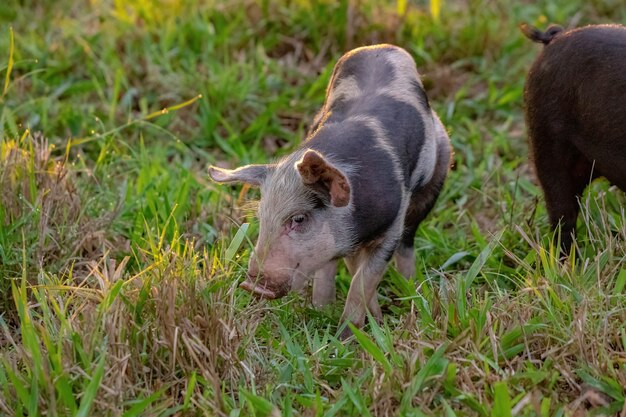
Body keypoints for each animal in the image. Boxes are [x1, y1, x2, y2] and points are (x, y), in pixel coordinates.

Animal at [208, 44, 448, 338]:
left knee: (408, 243)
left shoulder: (392, 226)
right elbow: (341, 272)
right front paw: (336, 317)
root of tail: (383, 47)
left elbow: (361, 282)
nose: (251, 286)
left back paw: (411, 290)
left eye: (299, 219)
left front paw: (349, 336)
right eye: (261, 218)